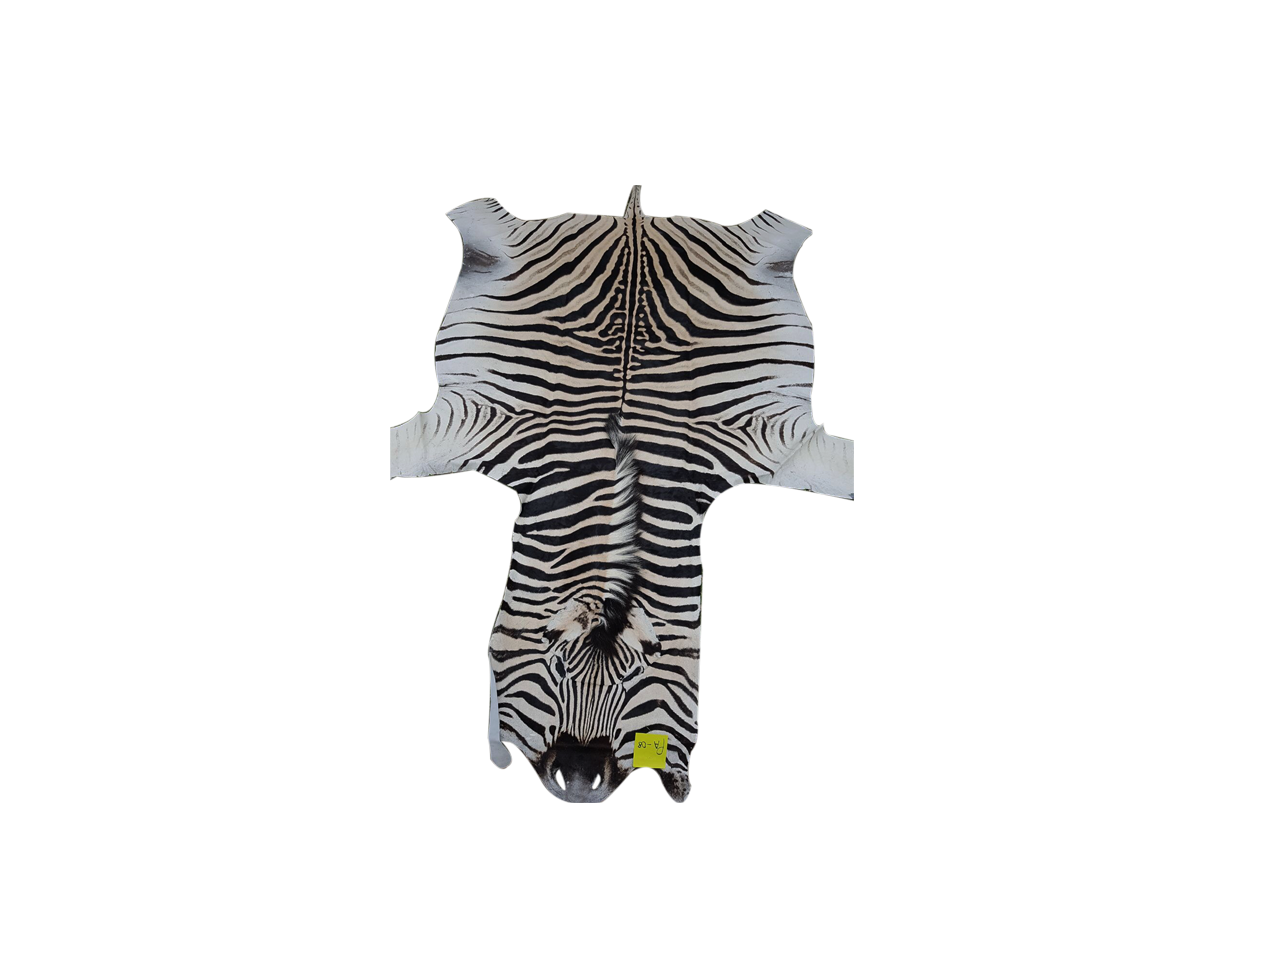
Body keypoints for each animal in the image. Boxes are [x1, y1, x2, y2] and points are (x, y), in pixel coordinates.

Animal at [388, 186, 854, 803]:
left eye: (637, 674)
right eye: (557, 665)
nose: (579, 782)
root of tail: (634, 216)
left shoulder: (776, 438)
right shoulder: (471, 427)